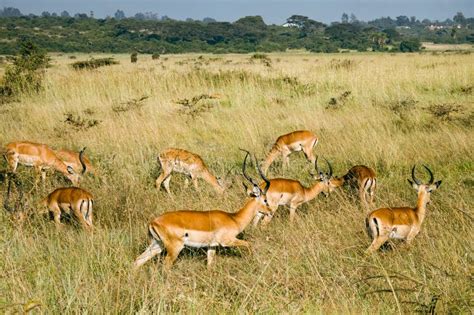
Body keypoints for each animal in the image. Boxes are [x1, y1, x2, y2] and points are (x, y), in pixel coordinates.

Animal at [135, 152, 272, 270]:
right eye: (265, 200)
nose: (270, 211)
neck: (234, 218)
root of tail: (153, 222)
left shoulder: (212, 246)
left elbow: (210, 266)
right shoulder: (227, 241)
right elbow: (249, 244)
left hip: (157, 245)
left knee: (137, 261)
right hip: (174, 248)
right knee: (165, 266)